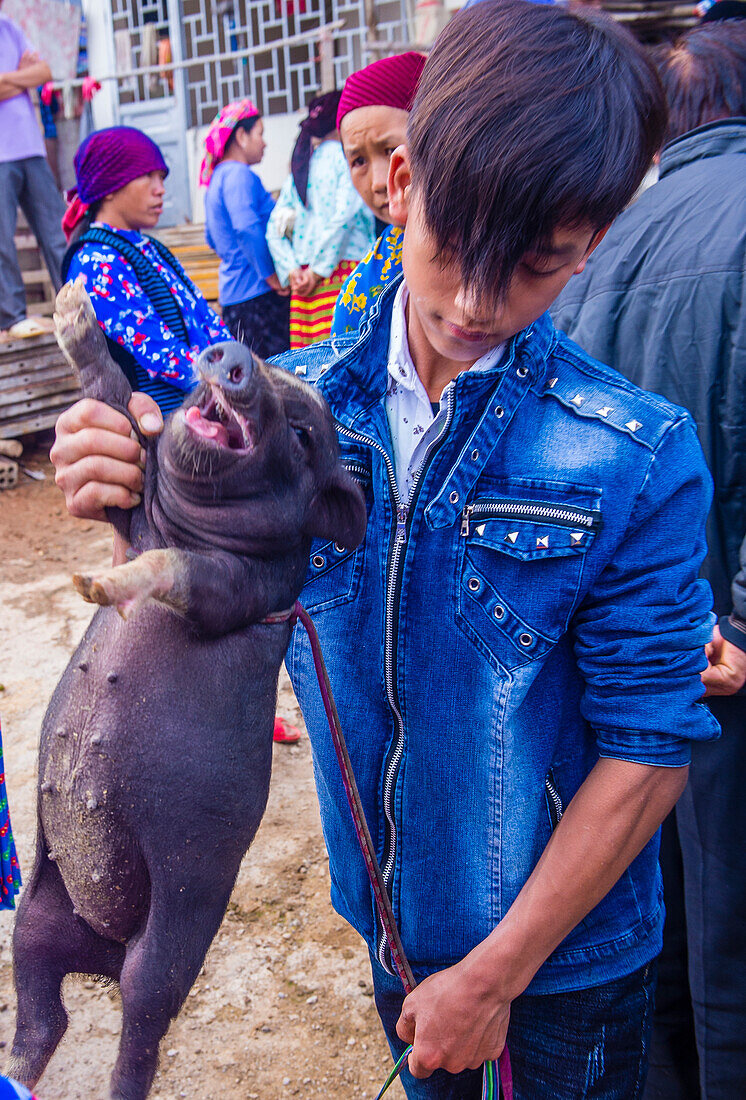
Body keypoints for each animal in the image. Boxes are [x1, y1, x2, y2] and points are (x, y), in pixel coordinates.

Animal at [5, 281, 367, 1100]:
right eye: (265, 365)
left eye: (304, 433)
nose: (231, 356)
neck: (190, 521)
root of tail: (103, 951)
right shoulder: (130, 507)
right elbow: (110, 399)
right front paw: (70, 309)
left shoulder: (235, 591)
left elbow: (173, 570)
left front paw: (93, 585)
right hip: (33, 915)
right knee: (44, 1014)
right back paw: (18, 1069)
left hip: (175, 932)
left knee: (138, 1032)